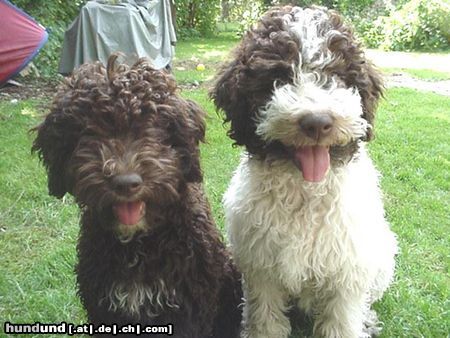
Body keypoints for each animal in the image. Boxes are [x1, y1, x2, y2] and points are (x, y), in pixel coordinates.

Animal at [211, 5, 398, 338]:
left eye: (334, 75)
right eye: (280, 76)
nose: (317, 122)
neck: (305, 191)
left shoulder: (347, 269)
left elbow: (342, 320)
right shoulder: (260, 268)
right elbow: (265, 317)